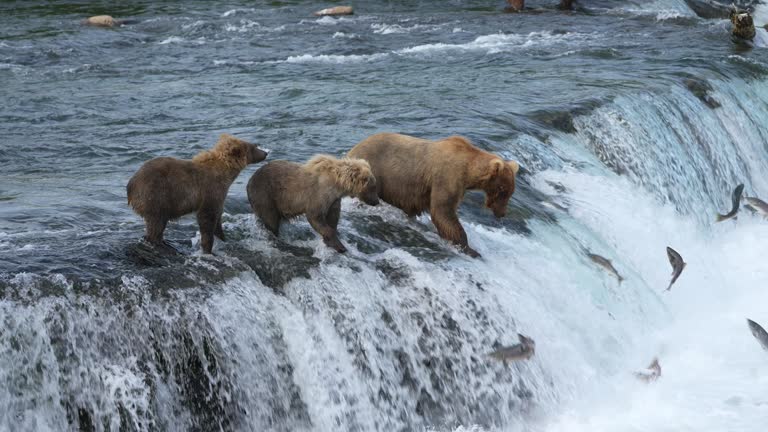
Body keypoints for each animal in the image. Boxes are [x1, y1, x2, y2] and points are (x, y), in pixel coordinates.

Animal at [127, 132, 268, 253]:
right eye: (254, 147)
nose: (265, 153)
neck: (225, 173)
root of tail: (131, 185)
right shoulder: (210, 190)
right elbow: (207, 217)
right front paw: (208, 248)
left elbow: (217, 218)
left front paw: (223, 238)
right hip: (155, 194)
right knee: (156, 222)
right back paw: (158, 243)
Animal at [246, 155, 378, 253]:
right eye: (373, 187)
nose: (376, 201)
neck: (337, 185)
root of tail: (249, 182)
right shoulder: (318, 195)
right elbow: (315, 217)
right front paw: (340, 246)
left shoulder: (333, 200)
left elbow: (333, 217)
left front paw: (333, 238)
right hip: (265, 194)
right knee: (270, 219)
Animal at [350, 132, 520, 258]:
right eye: (503, 190)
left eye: (510, 192)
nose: (502, 213)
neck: (468, 172)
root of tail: (352, 150)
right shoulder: (447, 177)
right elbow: (443, 211)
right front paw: (470, 249)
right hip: (373, 172)